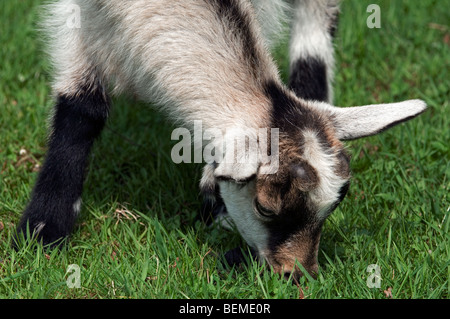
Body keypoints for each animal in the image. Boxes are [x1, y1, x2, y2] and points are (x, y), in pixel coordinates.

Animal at [16, 0, 426, 280]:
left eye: (335, 205)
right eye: (264, 207)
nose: (296, 274)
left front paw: (215, 203)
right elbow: (82, 105)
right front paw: (43, 231)